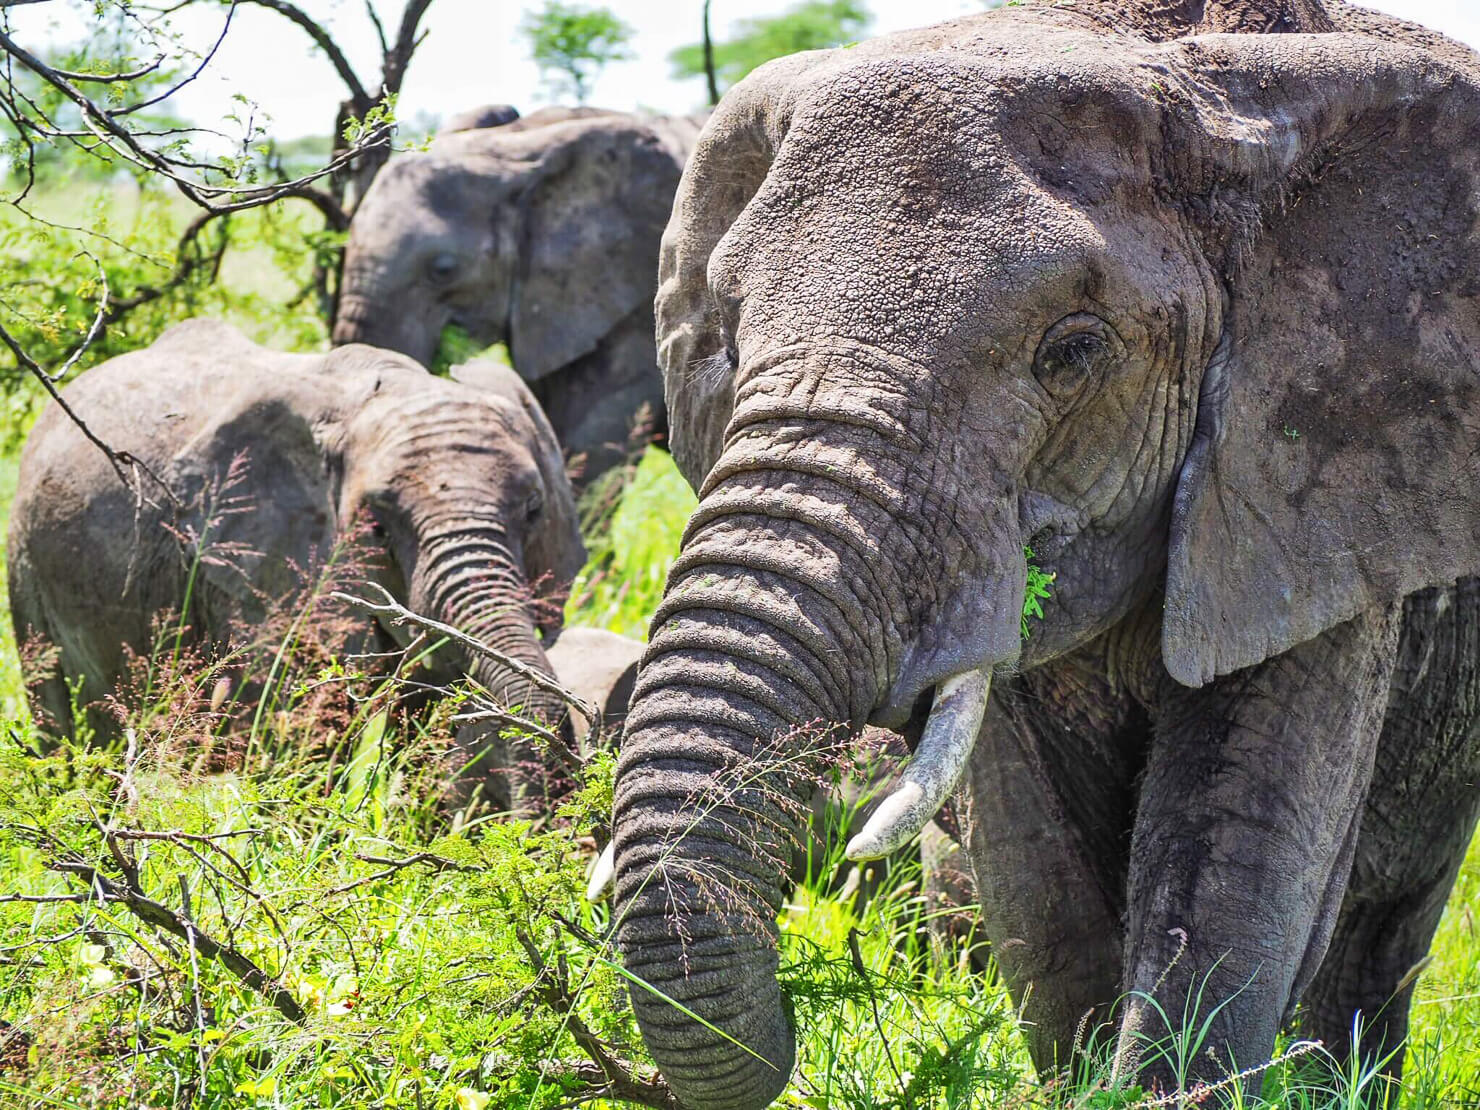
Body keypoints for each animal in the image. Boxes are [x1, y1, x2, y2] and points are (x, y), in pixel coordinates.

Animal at [11, 321, 589, 816]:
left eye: (534, 511)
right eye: (376, 527)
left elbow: (430, 716)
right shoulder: (259, 572)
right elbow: (302, 730)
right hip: (25, 564)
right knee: (68, 727)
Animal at [606, 0, 1480, 1107]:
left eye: (1071, 352)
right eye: (727, 338)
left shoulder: (1304, 478)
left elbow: (1236, 837)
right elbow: (1030, 856)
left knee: (1387, 914)